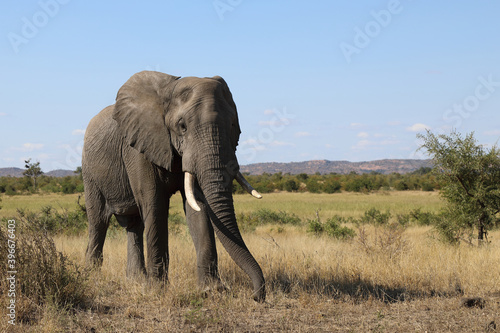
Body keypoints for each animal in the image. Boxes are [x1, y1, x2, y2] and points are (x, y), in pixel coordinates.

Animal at [81, 70, 266, 300]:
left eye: (233, 126)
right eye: (182, 126)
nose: (256, 296)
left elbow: (198, 207)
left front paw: (211, 290)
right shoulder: (139, 147)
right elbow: (154, 204)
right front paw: (157, 290)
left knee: (134, 225)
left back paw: (136, 280)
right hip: (90, 171)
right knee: (98, 221)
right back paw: (92, 276)